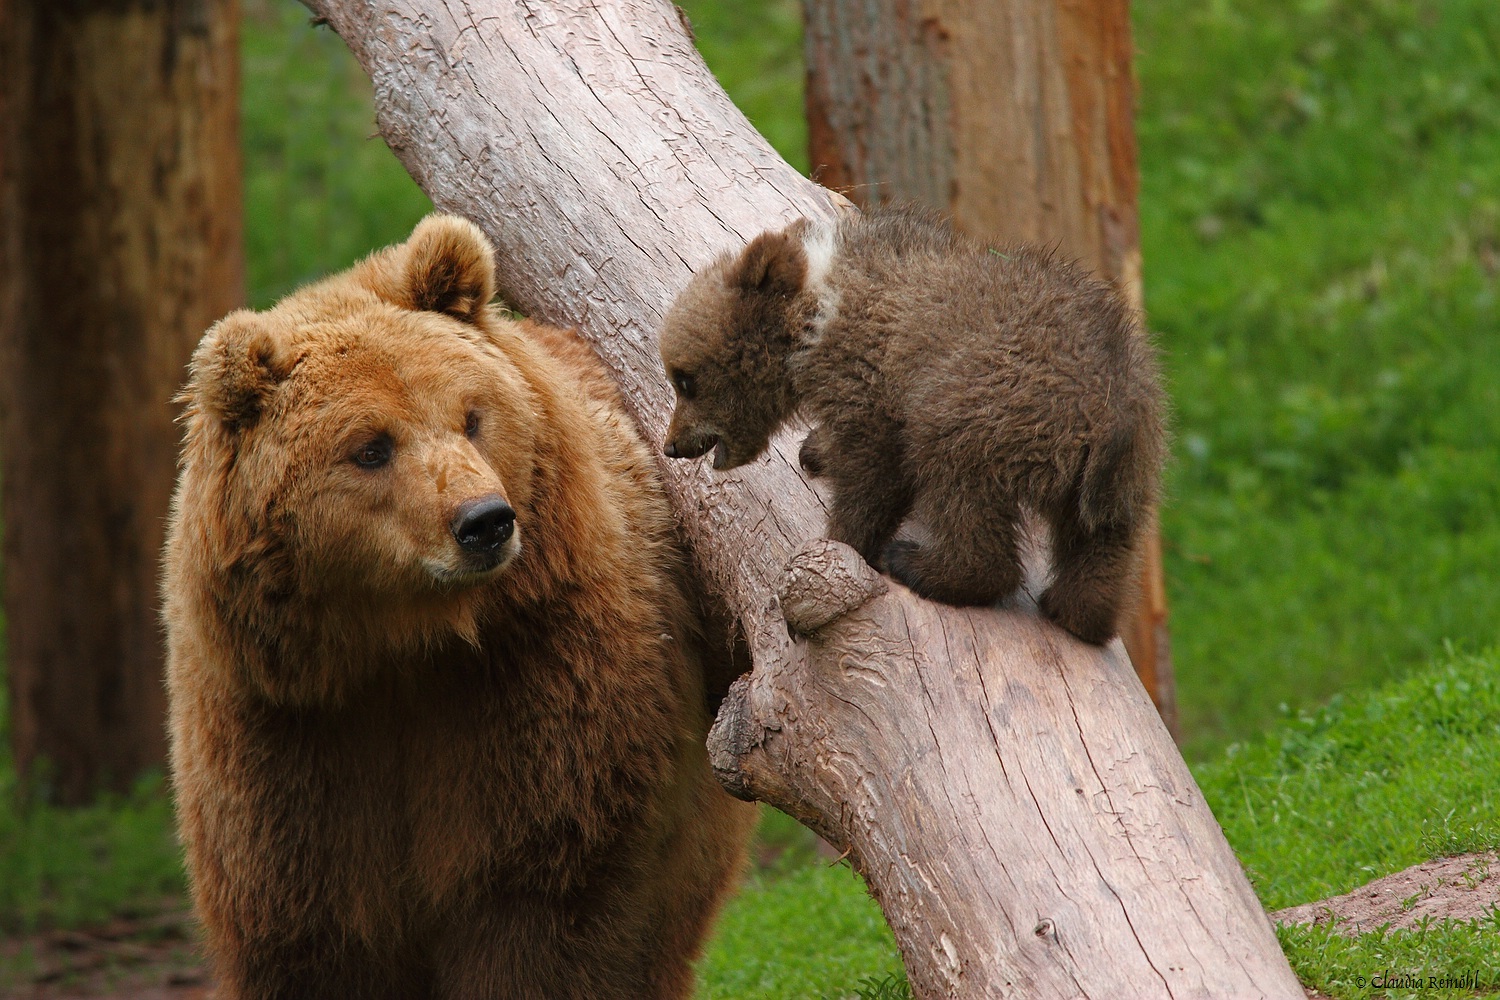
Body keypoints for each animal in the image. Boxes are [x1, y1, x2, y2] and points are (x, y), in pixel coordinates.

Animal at [162, 214, 754, 1000]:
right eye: (371, 447)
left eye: (472, 416)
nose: (485, 521)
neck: (402, 647)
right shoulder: (284, 739)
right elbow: (307, 935)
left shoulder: (539, 692)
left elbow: (540, 906)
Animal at [659, 205, 1165, 645]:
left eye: (685, 379)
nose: (672, 445)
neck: (814, 319)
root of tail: (1111, 409)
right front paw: (817, 448)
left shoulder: (873, 381)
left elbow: (873, 474)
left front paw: (841, 544)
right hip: (1129, 471)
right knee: (1102, 544)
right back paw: (1077, 612)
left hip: (982, 404)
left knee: (960, 486)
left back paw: (920, 564)